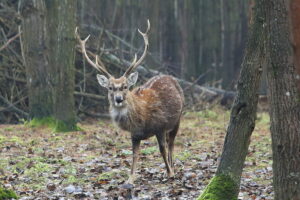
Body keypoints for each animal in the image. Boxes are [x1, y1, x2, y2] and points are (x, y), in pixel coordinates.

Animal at [74, 20, 184, 184]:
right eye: (110, 88)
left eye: (125, 86)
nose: (118, 99)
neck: (142, 120)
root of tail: (169, 76)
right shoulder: (135, 135)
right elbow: (134, 154)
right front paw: (130, 178)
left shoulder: (160, 126)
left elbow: (162, 149)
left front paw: (170, 173)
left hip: (178, 118)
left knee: (171, 144)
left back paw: (172, 168)